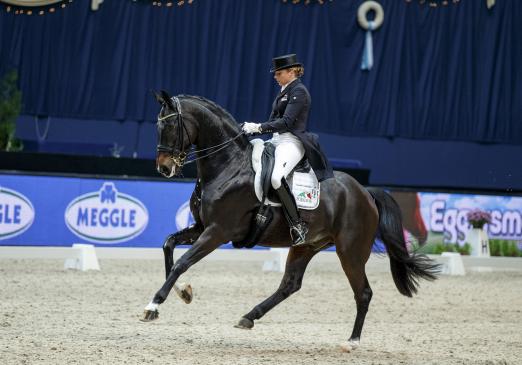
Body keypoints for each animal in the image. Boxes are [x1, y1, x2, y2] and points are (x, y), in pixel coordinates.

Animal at [140, 90, 436, 350]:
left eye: (169, 126)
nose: (164, 168)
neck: (227, 166)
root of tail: (365, 192)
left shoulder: (217, 232)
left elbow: (182, 262)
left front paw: (152, 306)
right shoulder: (201, 227)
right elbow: (168, 246)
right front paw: (183, 292)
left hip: (350, 251)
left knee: (363, 292)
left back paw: (352, 341)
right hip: (306, 245)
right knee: (290, 285)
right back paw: (249, 317)